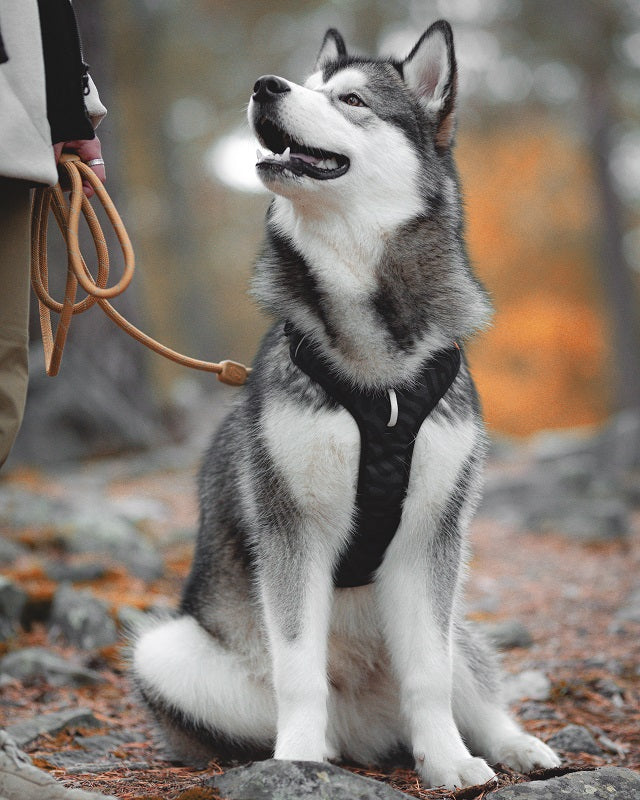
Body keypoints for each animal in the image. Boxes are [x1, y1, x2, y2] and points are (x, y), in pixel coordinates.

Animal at [132, 21, 560, 789]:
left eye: (352, 99)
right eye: (305, 85)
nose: (265, 86)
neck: (378, 376)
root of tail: (369, 728)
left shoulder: (430, 538)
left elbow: (429, 675)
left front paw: (448, 761)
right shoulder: (292, 531)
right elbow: (299, 671)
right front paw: (298, 762)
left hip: (456, 619)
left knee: (467, 686)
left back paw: (512, 746)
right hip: (165, 652)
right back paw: (322, 750)